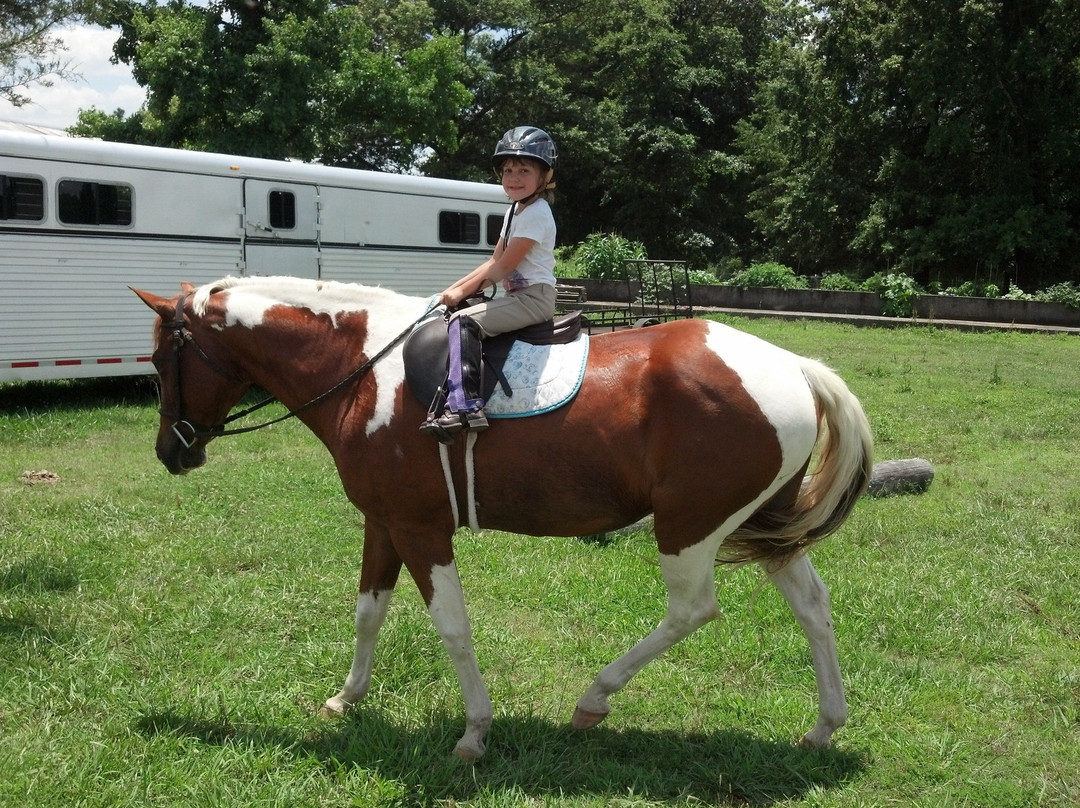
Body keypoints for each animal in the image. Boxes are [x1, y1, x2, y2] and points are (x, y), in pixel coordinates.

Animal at [132, 275, 873, 761]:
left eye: (161, 359)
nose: (170, 450)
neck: (364, 369)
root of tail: (796, 367)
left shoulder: (422, 529)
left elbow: (452, 628)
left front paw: (475, 731)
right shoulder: (384, 522)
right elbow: (369, 611)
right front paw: (348, 697)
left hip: (689, 527)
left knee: (693, 609)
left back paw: (595, 696)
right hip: (766, 525)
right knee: (813, 607)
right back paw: (824, 725)